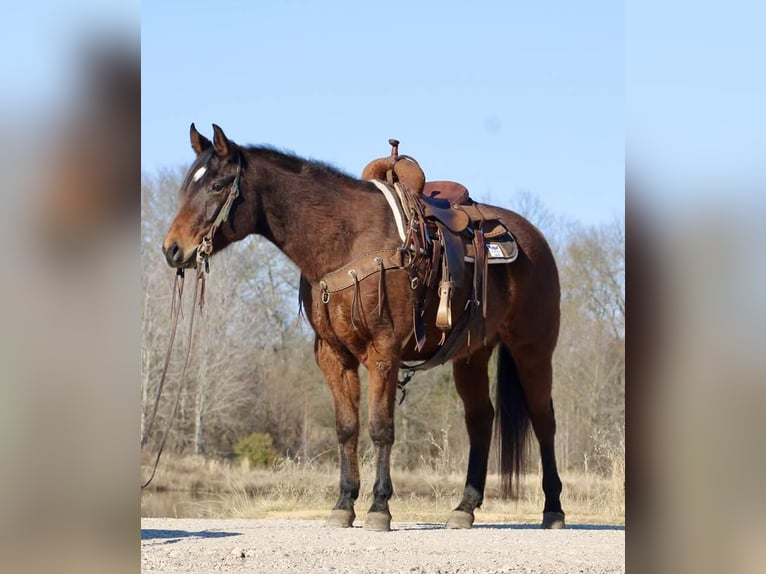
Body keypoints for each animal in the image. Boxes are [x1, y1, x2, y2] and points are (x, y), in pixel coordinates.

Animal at [162, 124, 565, 531]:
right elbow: (347, 428)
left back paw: (553, 509)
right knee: (481, 420)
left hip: (533, 350)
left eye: (217, 185)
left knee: (543, 420)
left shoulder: (383, 352)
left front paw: (379, 507)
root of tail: (535, 239)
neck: (347, 241)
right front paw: (344, 504)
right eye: (188, 185)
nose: (173, 249)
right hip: (471, 356)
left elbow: (380, 428)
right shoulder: (333, 355)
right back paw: (464, 508)